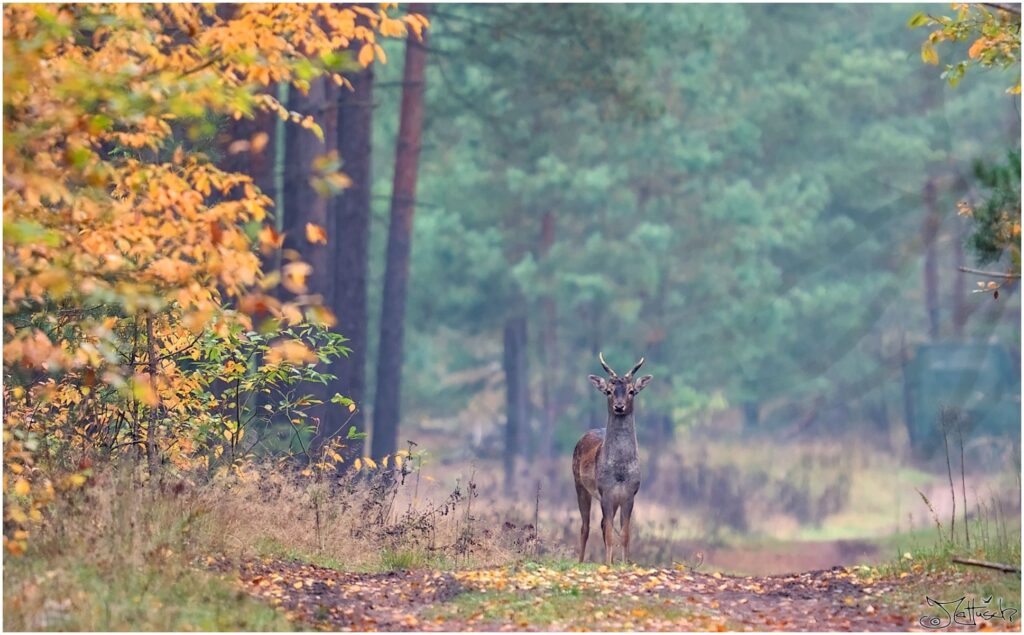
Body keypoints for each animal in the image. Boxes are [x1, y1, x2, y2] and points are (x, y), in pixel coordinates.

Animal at [573, 352, 651, 565]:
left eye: (632, 391)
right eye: (608, 391)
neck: (620, 472)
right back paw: (580, 561)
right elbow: (609, 532)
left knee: (599, 524)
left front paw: (623, 562)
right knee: (585, 526)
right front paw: (608, 564)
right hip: (579, 484)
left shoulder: (629, 495)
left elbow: (625, 534)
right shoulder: (605, 492)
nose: (619, 406)